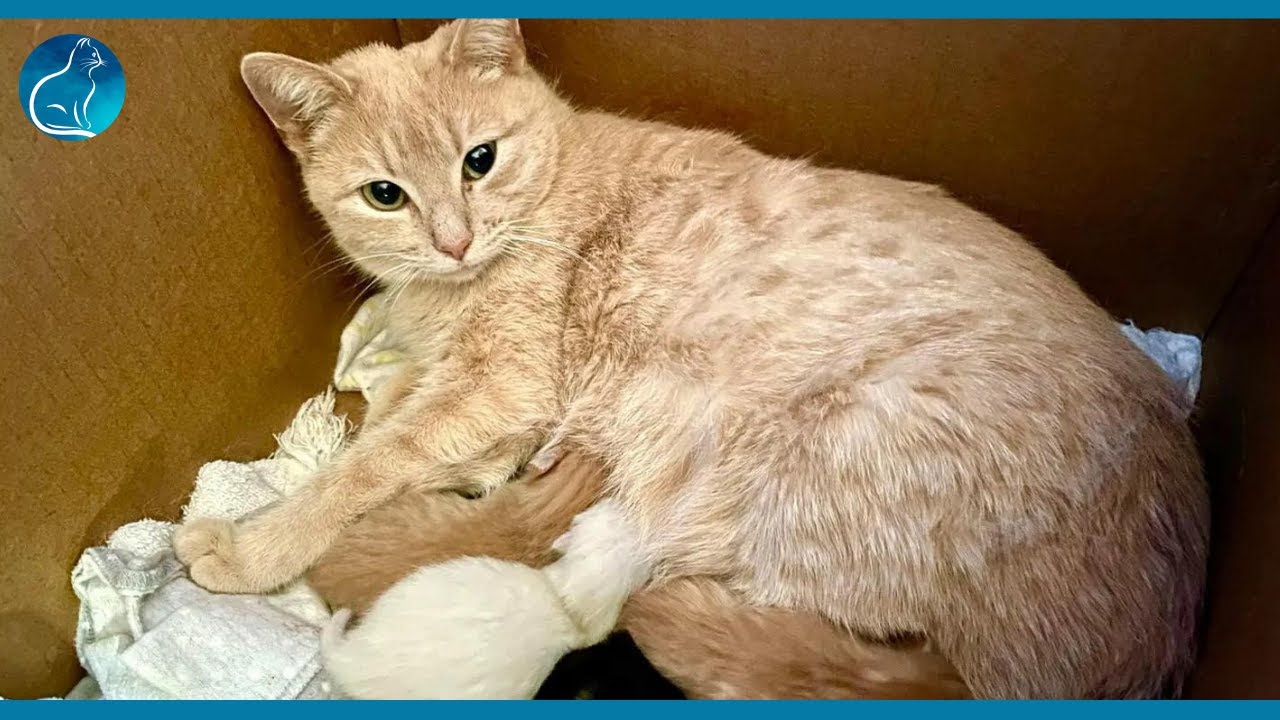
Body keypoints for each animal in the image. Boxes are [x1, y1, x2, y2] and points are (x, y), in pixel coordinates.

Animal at [174, 19, 1208, 698]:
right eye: (385, 194)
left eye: (479, 160)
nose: (455, 241)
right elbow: (386, 413)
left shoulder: (501, 385)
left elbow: (371, 461)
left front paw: (252, 543)